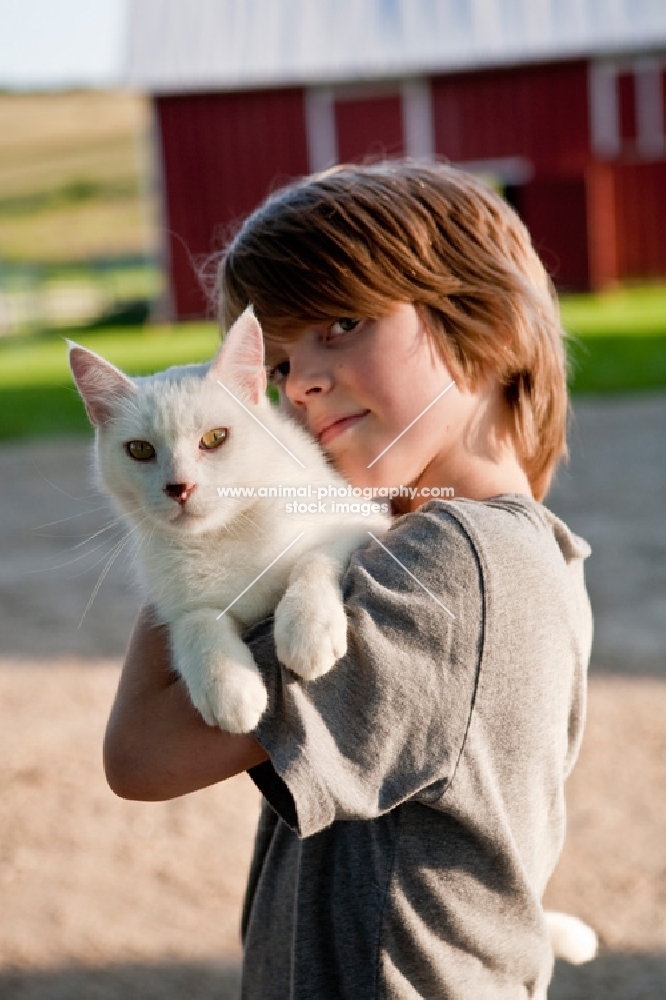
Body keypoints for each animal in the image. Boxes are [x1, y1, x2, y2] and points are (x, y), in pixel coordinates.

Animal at [67, 308, 386, 732]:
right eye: (139, 450)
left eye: (216, 438)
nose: (179, 487)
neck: (224, 535)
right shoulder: (175, 601)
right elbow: (195, 619)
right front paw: (228, 686)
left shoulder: (367, 519)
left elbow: (315, 556)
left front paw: (307, 628)